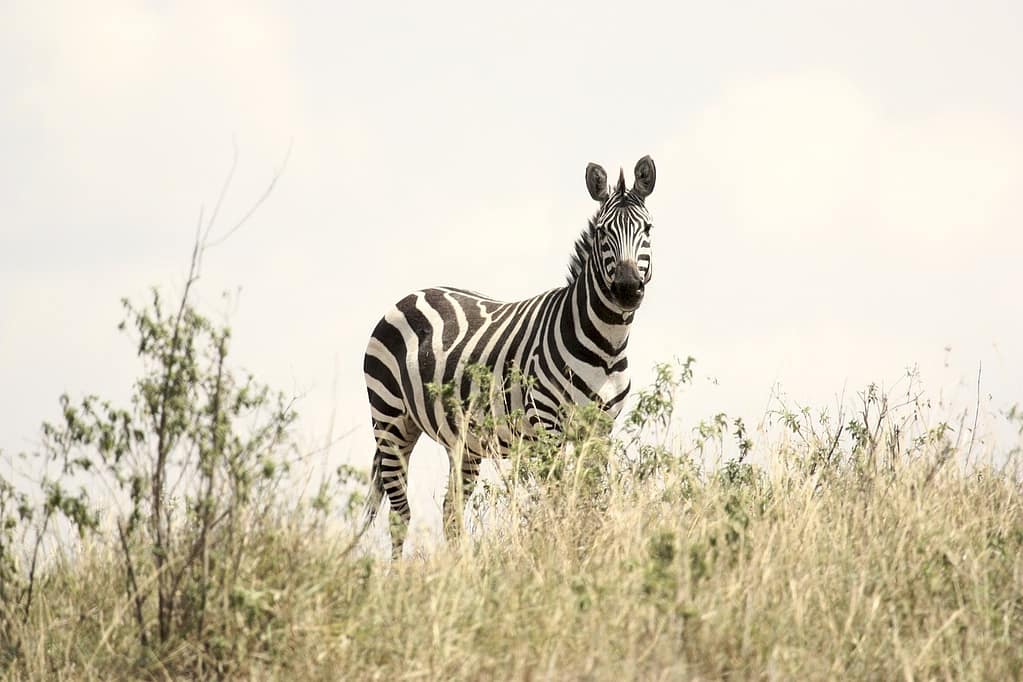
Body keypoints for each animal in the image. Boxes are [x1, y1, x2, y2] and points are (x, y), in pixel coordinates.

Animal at [364, 157, 658, 556]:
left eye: (647, 228)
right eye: (601, 233)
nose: (627, 289)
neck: (606, 346)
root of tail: (413, 294)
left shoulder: (599, 429)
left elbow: (589, 500)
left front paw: (586, 554)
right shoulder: (547, 424)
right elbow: (558, 500)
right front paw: (559, 555)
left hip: (462, 442)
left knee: (451, 512)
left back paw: (462, 568)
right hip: (391, 421)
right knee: (400, 514)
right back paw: (397, 572)